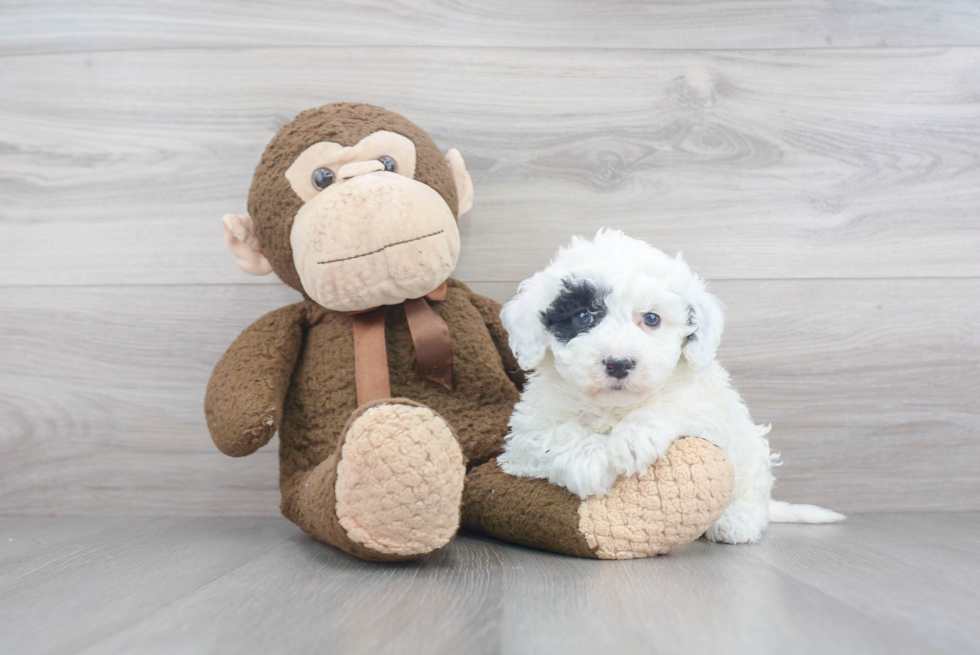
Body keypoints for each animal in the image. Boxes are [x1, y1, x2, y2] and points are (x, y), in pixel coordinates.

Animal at [498, 228, 844, 544]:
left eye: (652, 318)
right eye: (583, 316)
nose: (619, 364)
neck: (614, 406)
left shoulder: (705, 408)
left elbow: (670, 404)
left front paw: (632, 440)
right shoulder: (524, 436)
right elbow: (555, 434)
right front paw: (590, 460)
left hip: (751, 451)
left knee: (752, 492)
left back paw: (736, 521)